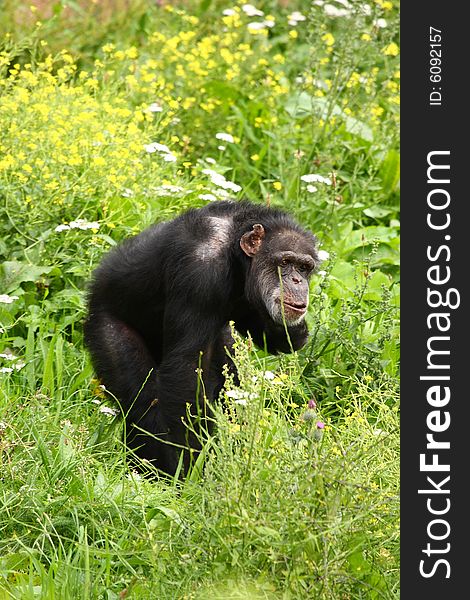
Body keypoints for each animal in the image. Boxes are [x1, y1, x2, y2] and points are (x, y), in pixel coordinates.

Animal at [84, 199, 320, 476]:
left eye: (304, 267)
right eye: (285, 262)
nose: (297, 280)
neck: (234, 252)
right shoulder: (200, 272)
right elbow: (186, 371)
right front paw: (188, 467)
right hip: (107, 324)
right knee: (143, 399)